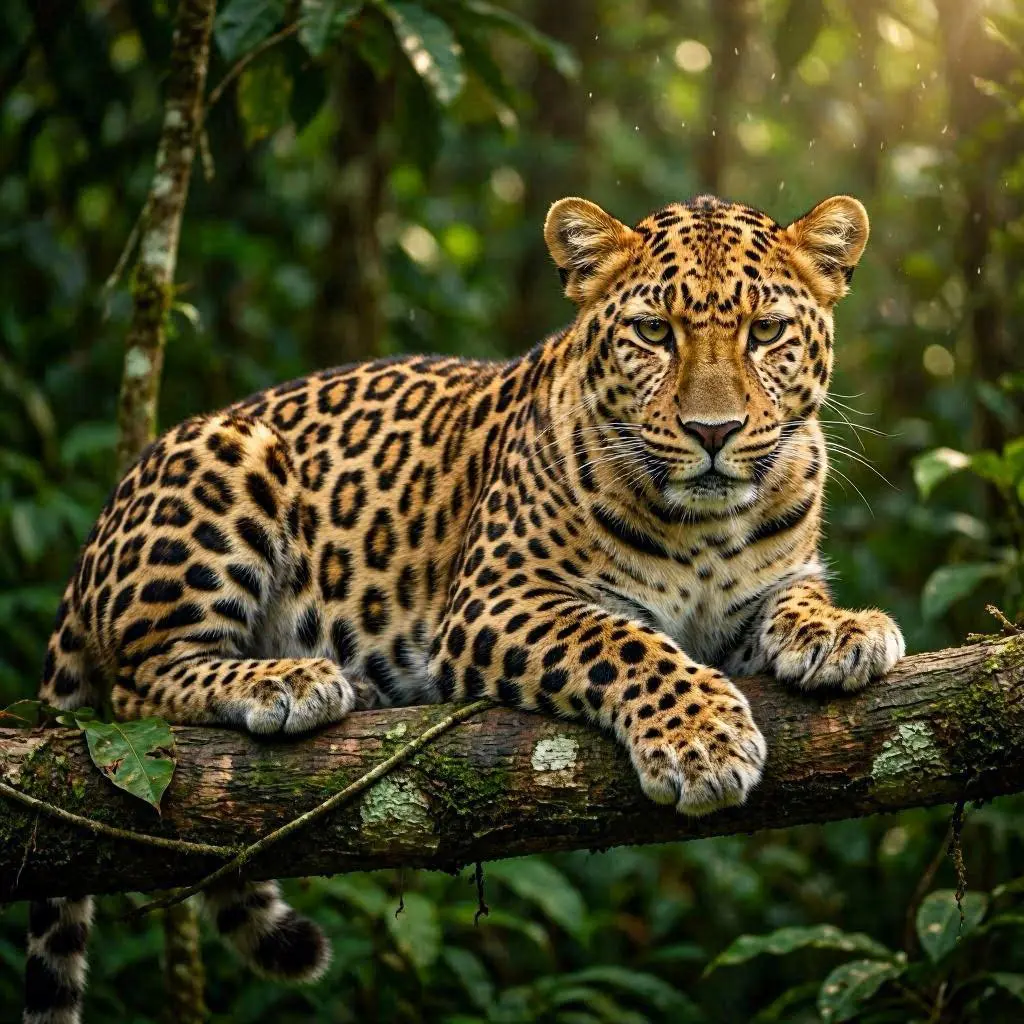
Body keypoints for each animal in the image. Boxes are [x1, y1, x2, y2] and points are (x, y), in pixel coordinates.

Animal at [24, 191, 904, 1024]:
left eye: (766, 332)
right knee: (135, 685)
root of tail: (99, 531)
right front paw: (702, 740)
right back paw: (290, 682)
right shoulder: (497, 597)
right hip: (231, 459)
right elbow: (625, 642)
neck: (707, 527)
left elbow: (795, 595)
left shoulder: (762, 585)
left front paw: (843, 631)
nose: (713, 431)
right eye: (654, 332)